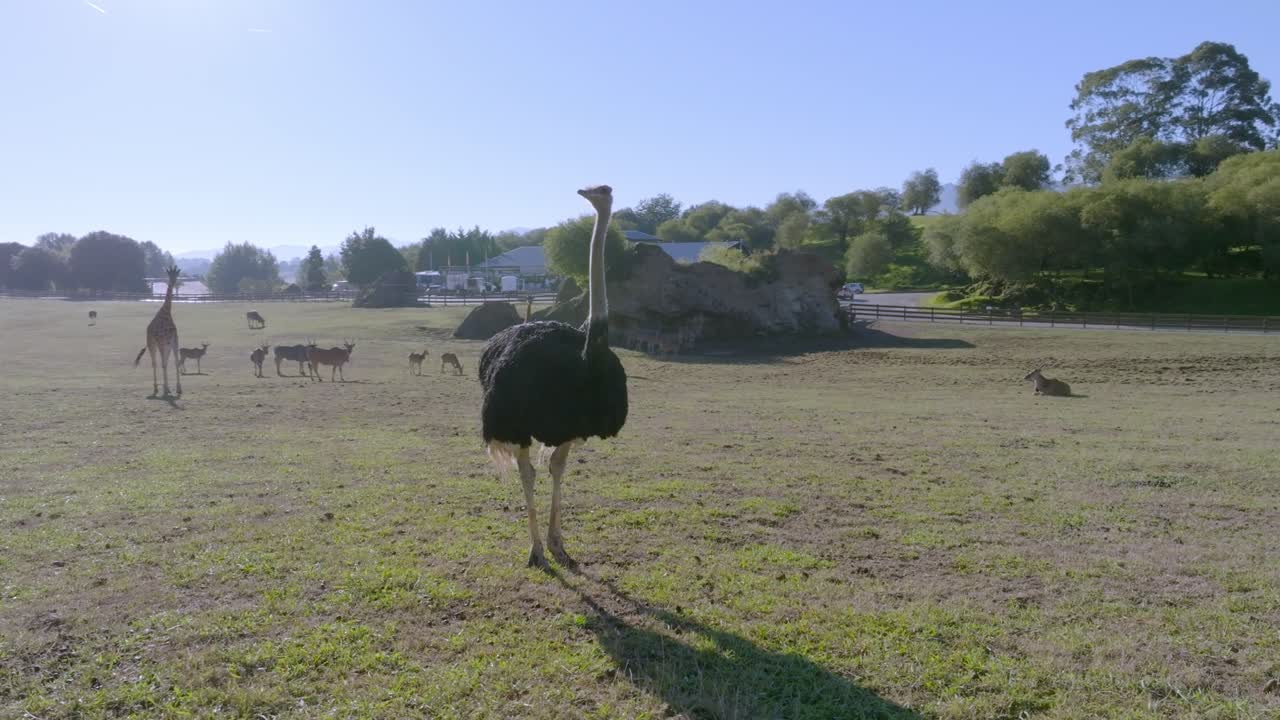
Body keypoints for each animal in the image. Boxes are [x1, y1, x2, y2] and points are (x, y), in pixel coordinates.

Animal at [133, 265, 183, 397]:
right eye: (169, 274)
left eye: (176, 274)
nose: (173, 282)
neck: (166, 313)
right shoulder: (162, 342)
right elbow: (163, 364)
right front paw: (165, 388)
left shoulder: (173, 342)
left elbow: (174, 362)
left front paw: (177, 388)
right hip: (152, 344)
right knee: (155, 363)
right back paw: (157, 388)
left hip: (165, 345)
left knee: (163, 362)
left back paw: (166, 388)